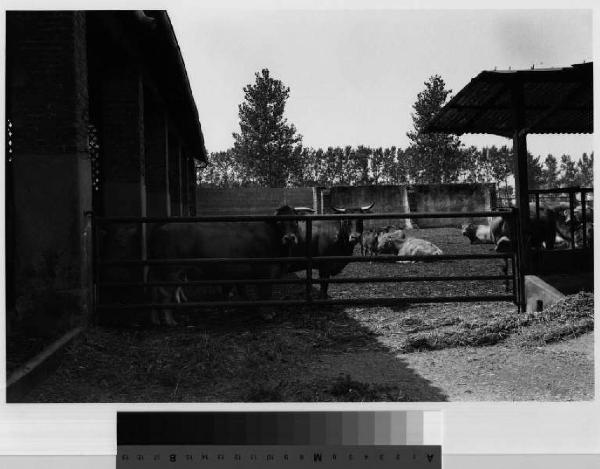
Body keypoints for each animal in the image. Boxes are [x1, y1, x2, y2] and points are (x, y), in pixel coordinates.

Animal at [148, 205, 302, 326]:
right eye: (280, 222)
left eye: (295, 221)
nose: (289, 238)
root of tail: (161, 227)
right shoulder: (264, 272)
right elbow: (265, 293)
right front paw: (267, 314)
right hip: (170, 271)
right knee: (164, 295)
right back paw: (170, 321)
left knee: (155, 293)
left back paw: (156, 320)